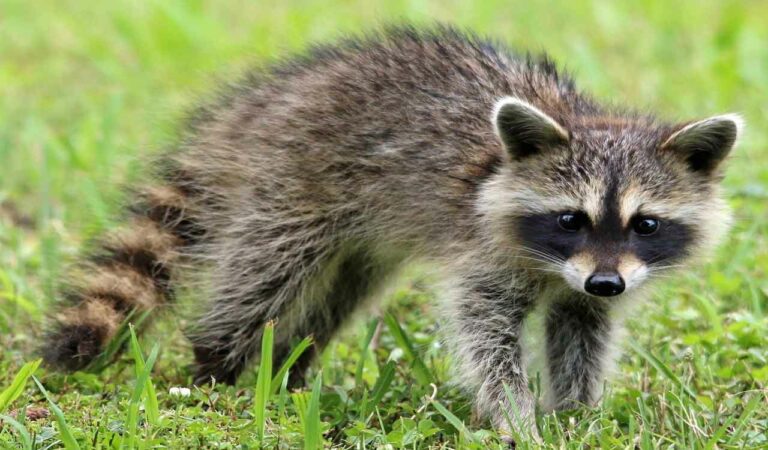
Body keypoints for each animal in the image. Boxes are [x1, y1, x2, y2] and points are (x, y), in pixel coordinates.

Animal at [41, 26, 742, 438]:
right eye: (571, 219)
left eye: (645, 224)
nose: (605, 283)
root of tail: (269, 99)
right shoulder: (486, 251)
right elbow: (484, 333)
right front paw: (516, 416)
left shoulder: (592, 281)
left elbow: (582, 331)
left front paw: (575, 413)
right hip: (295, 182)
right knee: (264, 274)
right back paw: (218, 363)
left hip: (359, 235)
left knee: (338, 293)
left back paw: (292, 366)